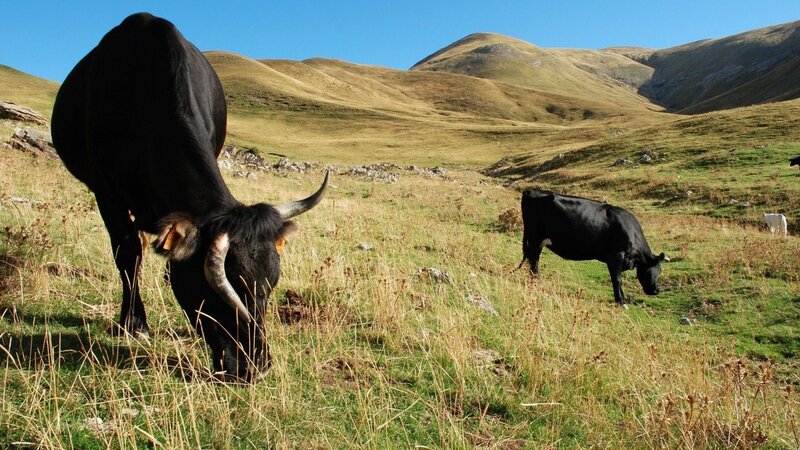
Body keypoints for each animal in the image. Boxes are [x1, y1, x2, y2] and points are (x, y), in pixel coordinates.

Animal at [51, 13, 328, 382]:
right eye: (213, 291)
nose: (257, 367)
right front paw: (133, 324)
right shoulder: (106, 191)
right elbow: (127, 253)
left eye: (269, 286)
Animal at [519, 189, 666, 304]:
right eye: (655, 270)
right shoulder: (616, 256)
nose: (656, 290)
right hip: (534, 239)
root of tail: (530, 191)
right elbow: (617, 279)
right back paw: (536, 282)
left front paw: (623, 298)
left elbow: (618, 278)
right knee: (533, 262)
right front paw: (620, 301)